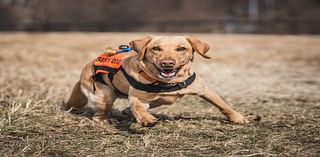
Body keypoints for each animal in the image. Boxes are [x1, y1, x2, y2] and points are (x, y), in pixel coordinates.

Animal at [65, 36, 250, 126]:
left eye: (181, 49)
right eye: (156, 49)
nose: (167, 63)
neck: (169, 83)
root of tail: (85, 68)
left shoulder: (203, 89)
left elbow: (223, 105)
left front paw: (238, 118)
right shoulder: (136, 97)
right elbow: (138, 108)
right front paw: (146, 119)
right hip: (105, 95)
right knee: (98, 115)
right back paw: (106, 120)